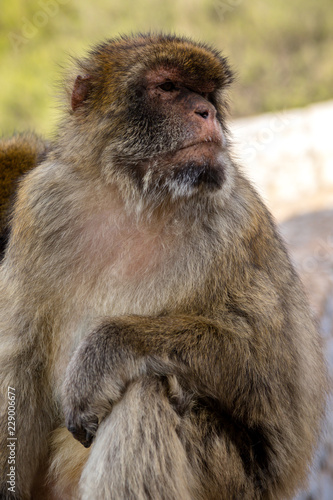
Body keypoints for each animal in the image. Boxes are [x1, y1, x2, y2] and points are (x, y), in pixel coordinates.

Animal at [0, 34, 326, 500]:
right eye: (169, 87)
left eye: (207, 93)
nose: (206, 112)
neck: (133, 198)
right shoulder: (39, 204)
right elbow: (18, 369)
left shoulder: (237, 223)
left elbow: (270, 370)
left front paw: (105, 349)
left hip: (232, 478)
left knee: (146, 392)